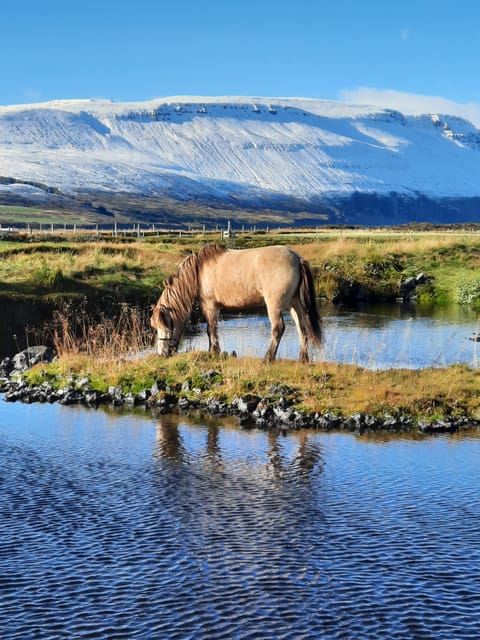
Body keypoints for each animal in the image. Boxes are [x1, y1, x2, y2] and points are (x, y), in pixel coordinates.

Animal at [150, 244, 322, 362]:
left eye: (165, 326)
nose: (162, 353)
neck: (198, 271)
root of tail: (297, 259)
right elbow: (213, 329)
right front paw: (213, 350)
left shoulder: (209, 305)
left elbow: (210, 330)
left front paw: (213, 351)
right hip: (295, 305)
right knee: (302, 328)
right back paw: (303, 358)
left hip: (275, 305)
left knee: (278, 328)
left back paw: (268, 358)